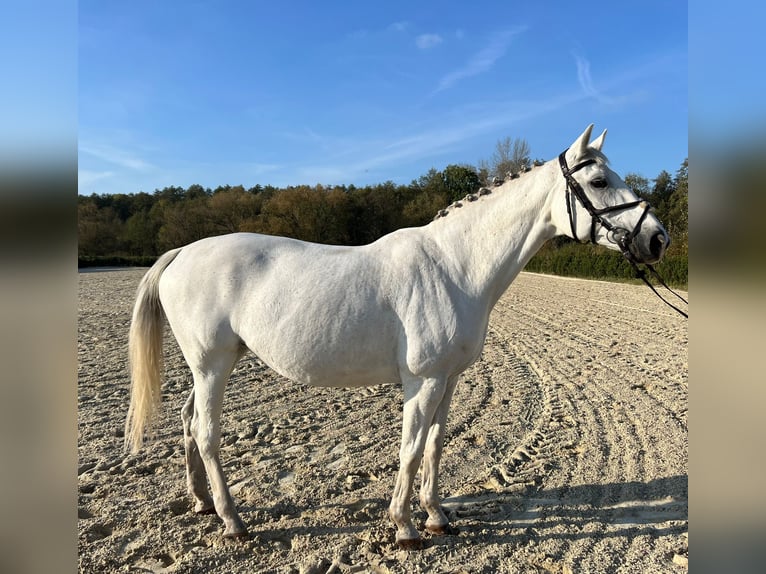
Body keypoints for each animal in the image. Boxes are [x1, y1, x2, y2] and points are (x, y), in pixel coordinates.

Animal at [126, 126, 672, 548]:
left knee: (188, 420)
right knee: (206, 432)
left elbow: (434, 446)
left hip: (207, 368)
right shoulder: (422, 381)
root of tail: (181, 252)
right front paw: (405, 528)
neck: (455, 266)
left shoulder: (448, 380)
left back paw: (202, 503)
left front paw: (437, 517)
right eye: (599, 180)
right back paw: (234, 521)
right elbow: (409, 448)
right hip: (213, 365)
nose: (657, 239)